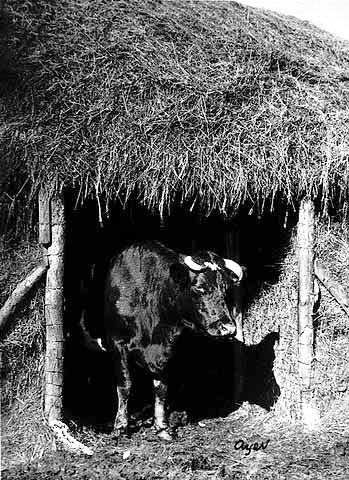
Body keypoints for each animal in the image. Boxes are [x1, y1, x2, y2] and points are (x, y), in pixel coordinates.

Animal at [81, 242, 242, 440]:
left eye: (226, 289)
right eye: (199, 287)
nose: (228, 328)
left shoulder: (168, 350)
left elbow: (161, 388)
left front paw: (162, 427)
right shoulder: (117, 342)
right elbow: (125, 384)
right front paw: (120, 426)